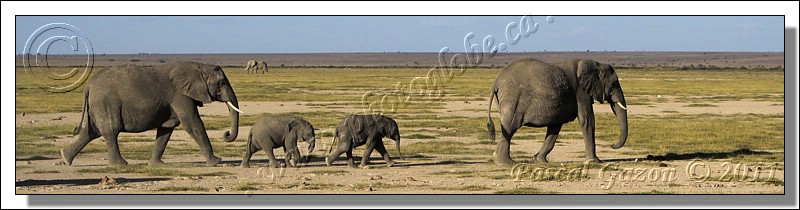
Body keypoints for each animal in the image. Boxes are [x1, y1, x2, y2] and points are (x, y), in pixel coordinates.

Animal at [61, 61, 242, 167]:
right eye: (221, 83)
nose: (226, 134)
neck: (198, 66)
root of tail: (88, 86)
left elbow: (167, 128)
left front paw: (158, 165)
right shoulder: (179, 95)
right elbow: (192, 123)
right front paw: (216, 162)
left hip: (97, 105)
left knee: (90, 132)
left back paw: (66, 158)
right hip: (106, 103)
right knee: (110, 131)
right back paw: (120, 165)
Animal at [484, 58, 628, 165]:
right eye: (614, 83)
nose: (612, 145)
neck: (595, 64)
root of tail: (496, 82)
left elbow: (555, 127)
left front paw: (539, 160)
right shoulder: (581, 92)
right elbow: (587, 120)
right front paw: (595, 162)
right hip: (513, 100)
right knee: (510, 127)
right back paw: (506, 162)